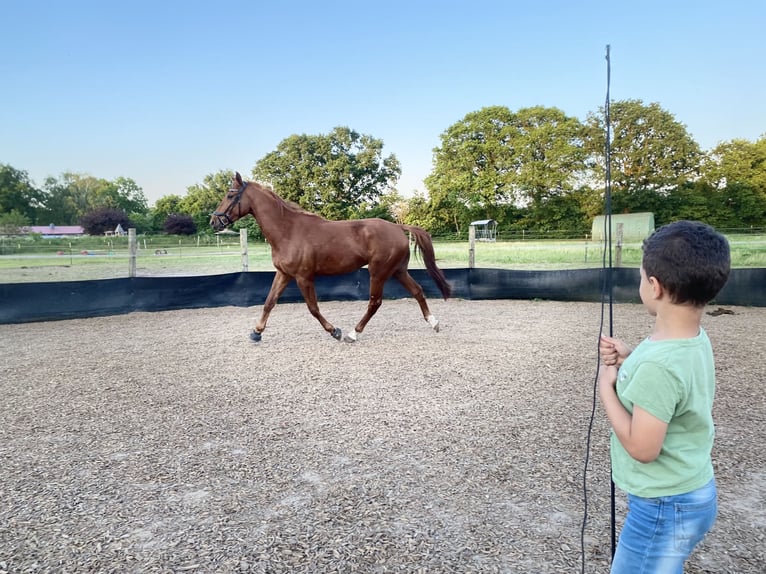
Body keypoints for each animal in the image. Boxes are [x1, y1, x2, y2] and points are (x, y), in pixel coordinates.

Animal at [210, 171, 452, 342]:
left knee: (375, 302)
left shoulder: (303, 277)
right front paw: (256, 332)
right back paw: (434, 323)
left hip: (378, 272)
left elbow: (313, 308)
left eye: (230, 195)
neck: (288, 230)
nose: (214, 221)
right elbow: (269, 302)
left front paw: (335, 331)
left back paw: (353, 334)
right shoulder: (284, 274)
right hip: (398, 271)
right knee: (417, 291)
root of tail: (398, 227)